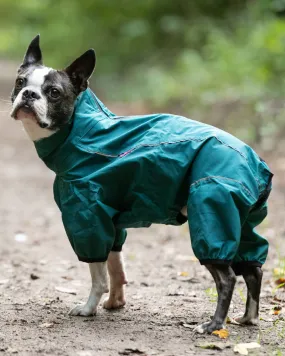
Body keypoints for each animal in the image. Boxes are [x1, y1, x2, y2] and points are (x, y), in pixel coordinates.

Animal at [10, 36, 272, 334]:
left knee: (227, 277)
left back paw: (213, 325)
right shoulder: (111, 222)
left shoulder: (88, 218)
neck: (83, 133)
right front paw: (115, 303)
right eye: (20, 82)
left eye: (53, 92)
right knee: (253, 269)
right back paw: (249, 318)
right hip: (243, 224)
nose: (29, 94)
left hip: (213, 214)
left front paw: (89, 309)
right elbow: (116, 268)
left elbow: (98, 275)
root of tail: (256, 163)